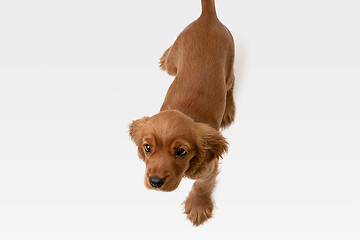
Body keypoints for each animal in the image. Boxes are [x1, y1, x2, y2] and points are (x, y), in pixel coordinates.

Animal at [128, 0, 235, 226]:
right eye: (147, 148)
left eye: (181, 152)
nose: (155, 182)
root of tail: (208, 18)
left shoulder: (209, 168)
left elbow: (201, 185)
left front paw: (198, 206)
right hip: (173, 65)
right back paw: (165, 55)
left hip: (229, 67)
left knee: (231, 82)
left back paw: (229, 109)